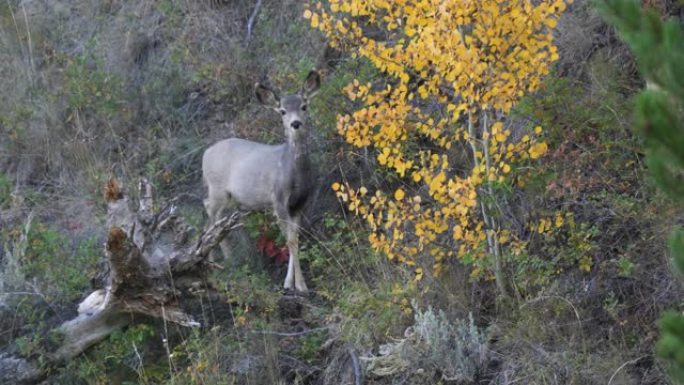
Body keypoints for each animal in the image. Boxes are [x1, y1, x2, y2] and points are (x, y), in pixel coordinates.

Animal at [202, 70, 322, 292]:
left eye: (304, 106)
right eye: (282, 111)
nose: (295, 123)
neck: (292, 171)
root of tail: (205, 154)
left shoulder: (299, 203)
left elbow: (295, 237)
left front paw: (291, 283)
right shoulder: (278, 199)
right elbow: (290, 240)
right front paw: (298, 285)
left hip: (232, 200)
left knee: (214, 219)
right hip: (217, 190)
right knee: (209, 214)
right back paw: (221, 261)